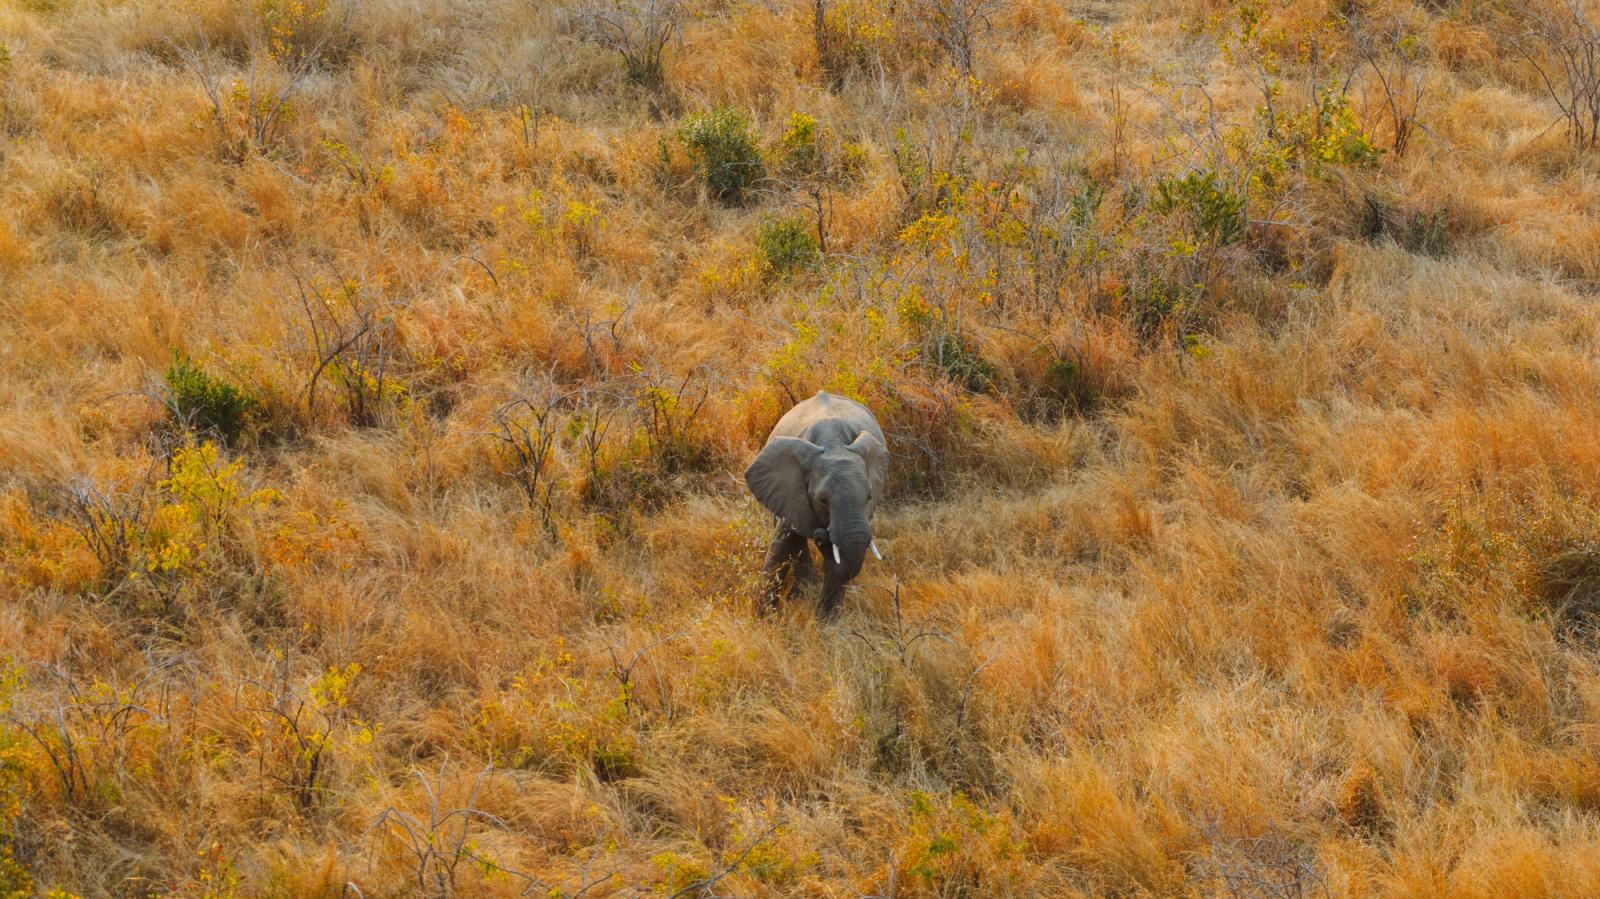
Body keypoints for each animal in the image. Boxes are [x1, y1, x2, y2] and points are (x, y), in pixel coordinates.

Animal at [745, 390, 889, 616]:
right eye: (822, 500)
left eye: (868, 497)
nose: (822, 534)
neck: (833, 444)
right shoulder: (789, 490)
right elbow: (782, 543)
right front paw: (764, 618)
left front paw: (825, 621)